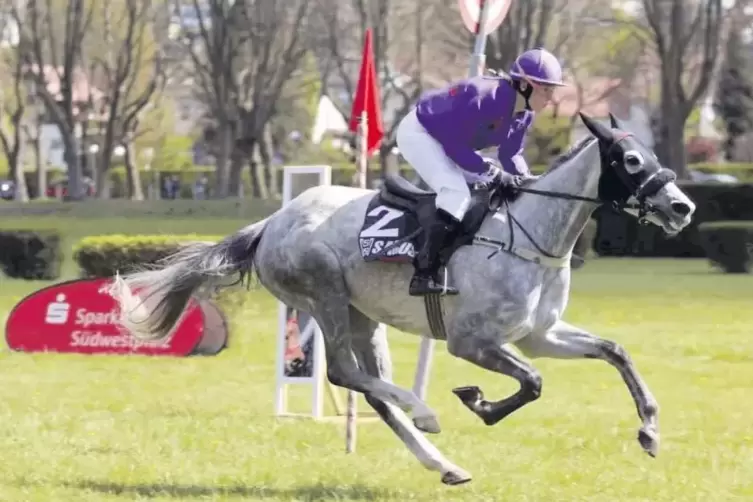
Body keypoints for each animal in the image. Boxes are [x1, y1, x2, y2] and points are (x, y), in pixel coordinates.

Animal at [106, 114, 692, 486]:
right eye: (631, 160)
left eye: (652, 154)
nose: (682, 206)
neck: (531, 237)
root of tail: (271, 223)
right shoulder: (471, 342)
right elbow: (532, 382)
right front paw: (478, 402)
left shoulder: (538, 334)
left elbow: (614, 351)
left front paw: (649, 430)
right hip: (325, 295)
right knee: (343, 373)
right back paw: (426, 412)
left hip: (365, 318)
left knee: (374, 395)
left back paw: (444, 464)